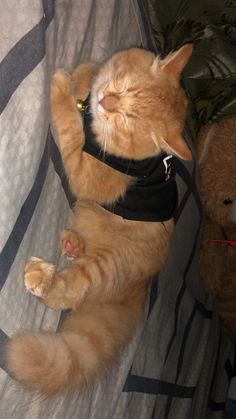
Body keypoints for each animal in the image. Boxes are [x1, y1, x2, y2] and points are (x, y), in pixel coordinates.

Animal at [6, 46, 193, 398]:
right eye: (126, 87)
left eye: (127, 119)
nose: (106, 102)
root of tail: (141, 287)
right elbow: (89, 72)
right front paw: (82, 77)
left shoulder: (87, 174)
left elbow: (70, 128)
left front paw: (62, 87)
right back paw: (71, 243)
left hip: (101, 267)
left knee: (69, 292)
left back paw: (41, 277)